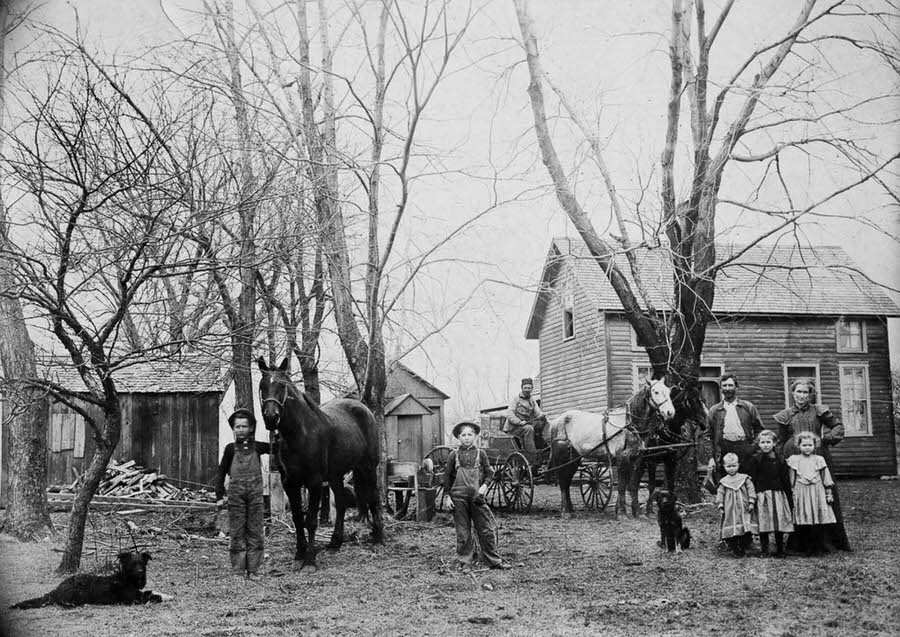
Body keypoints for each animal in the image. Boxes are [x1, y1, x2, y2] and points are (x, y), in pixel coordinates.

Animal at [10, 548, 171, 608]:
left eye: (142, 563)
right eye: (133, 564)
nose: (140, 572)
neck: (127, 579)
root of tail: (56, 589)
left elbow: (152, 591)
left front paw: (168, 595)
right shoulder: (133, 600)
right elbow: (151, 596)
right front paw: (163, 597)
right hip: (77, 593)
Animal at [256, 352, 384, 572]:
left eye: (282, 386)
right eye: (262, 386)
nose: (271, 418)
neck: (300, 435)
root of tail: (364, 408)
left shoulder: (314, 482)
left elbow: (311, 521)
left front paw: (310, 560)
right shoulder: (289, 483)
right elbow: (298, 519)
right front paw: (299, 555)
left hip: (367, 467)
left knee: (374, 498)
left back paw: (378, 539)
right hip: (336, 475)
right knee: (340, 503)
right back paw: (335, 543)